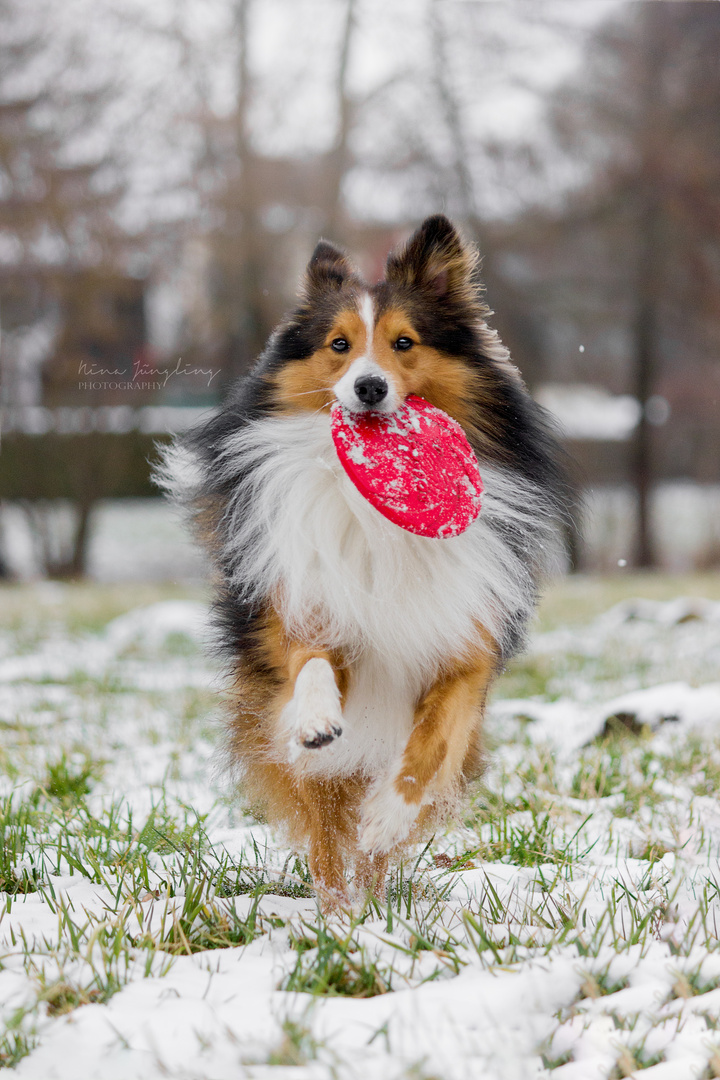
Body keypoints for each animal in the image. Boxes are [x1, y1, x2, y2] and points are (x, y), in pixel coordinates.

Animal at [158, 212, 569, 902]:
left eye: (404, 342)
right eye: (338, 344)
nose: (369, 387)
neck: (374, 508)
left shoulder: (465, 644)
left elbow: (432, 741)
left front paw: (389, 813)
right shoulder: (304, 604)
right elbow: (311, 664)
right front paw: (318, 718)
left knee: (371, 838)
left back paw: (371, 900)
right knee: (325, 838)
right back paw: (337, 914)